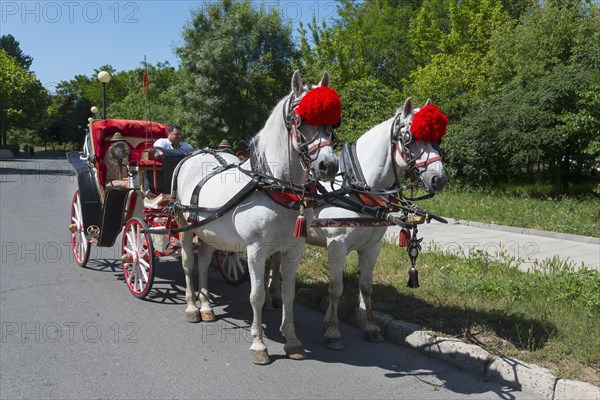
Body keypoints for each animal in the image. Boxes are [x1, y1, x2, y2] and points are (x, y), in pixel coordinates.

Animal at [176, 70, 340, 364]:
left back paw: (206, 306)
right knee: (188, 262)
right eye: (301, 119)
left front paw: (293, 341)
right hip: (185, 227)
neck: (274, 186)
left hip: (209, 231)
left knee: (204, 262)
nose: (329, 166)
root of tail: (194, 155)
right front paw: (259, 345)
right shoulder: (256, 250)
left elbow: (288, 293)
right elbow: (257, 295)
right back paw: (193, 307)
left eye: (332, 122)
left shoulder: (293, 248)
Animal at [268, 97, 446, 350]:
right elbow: (336, 288)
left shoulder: (372, 247)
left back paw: (273, 294)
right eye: (410, 137)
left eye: (437, 140)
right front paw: (332, 331)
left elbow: (366, 287)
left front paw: (371, 327)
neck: (357, 190)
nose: (439, 179)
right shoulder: (337, 244)